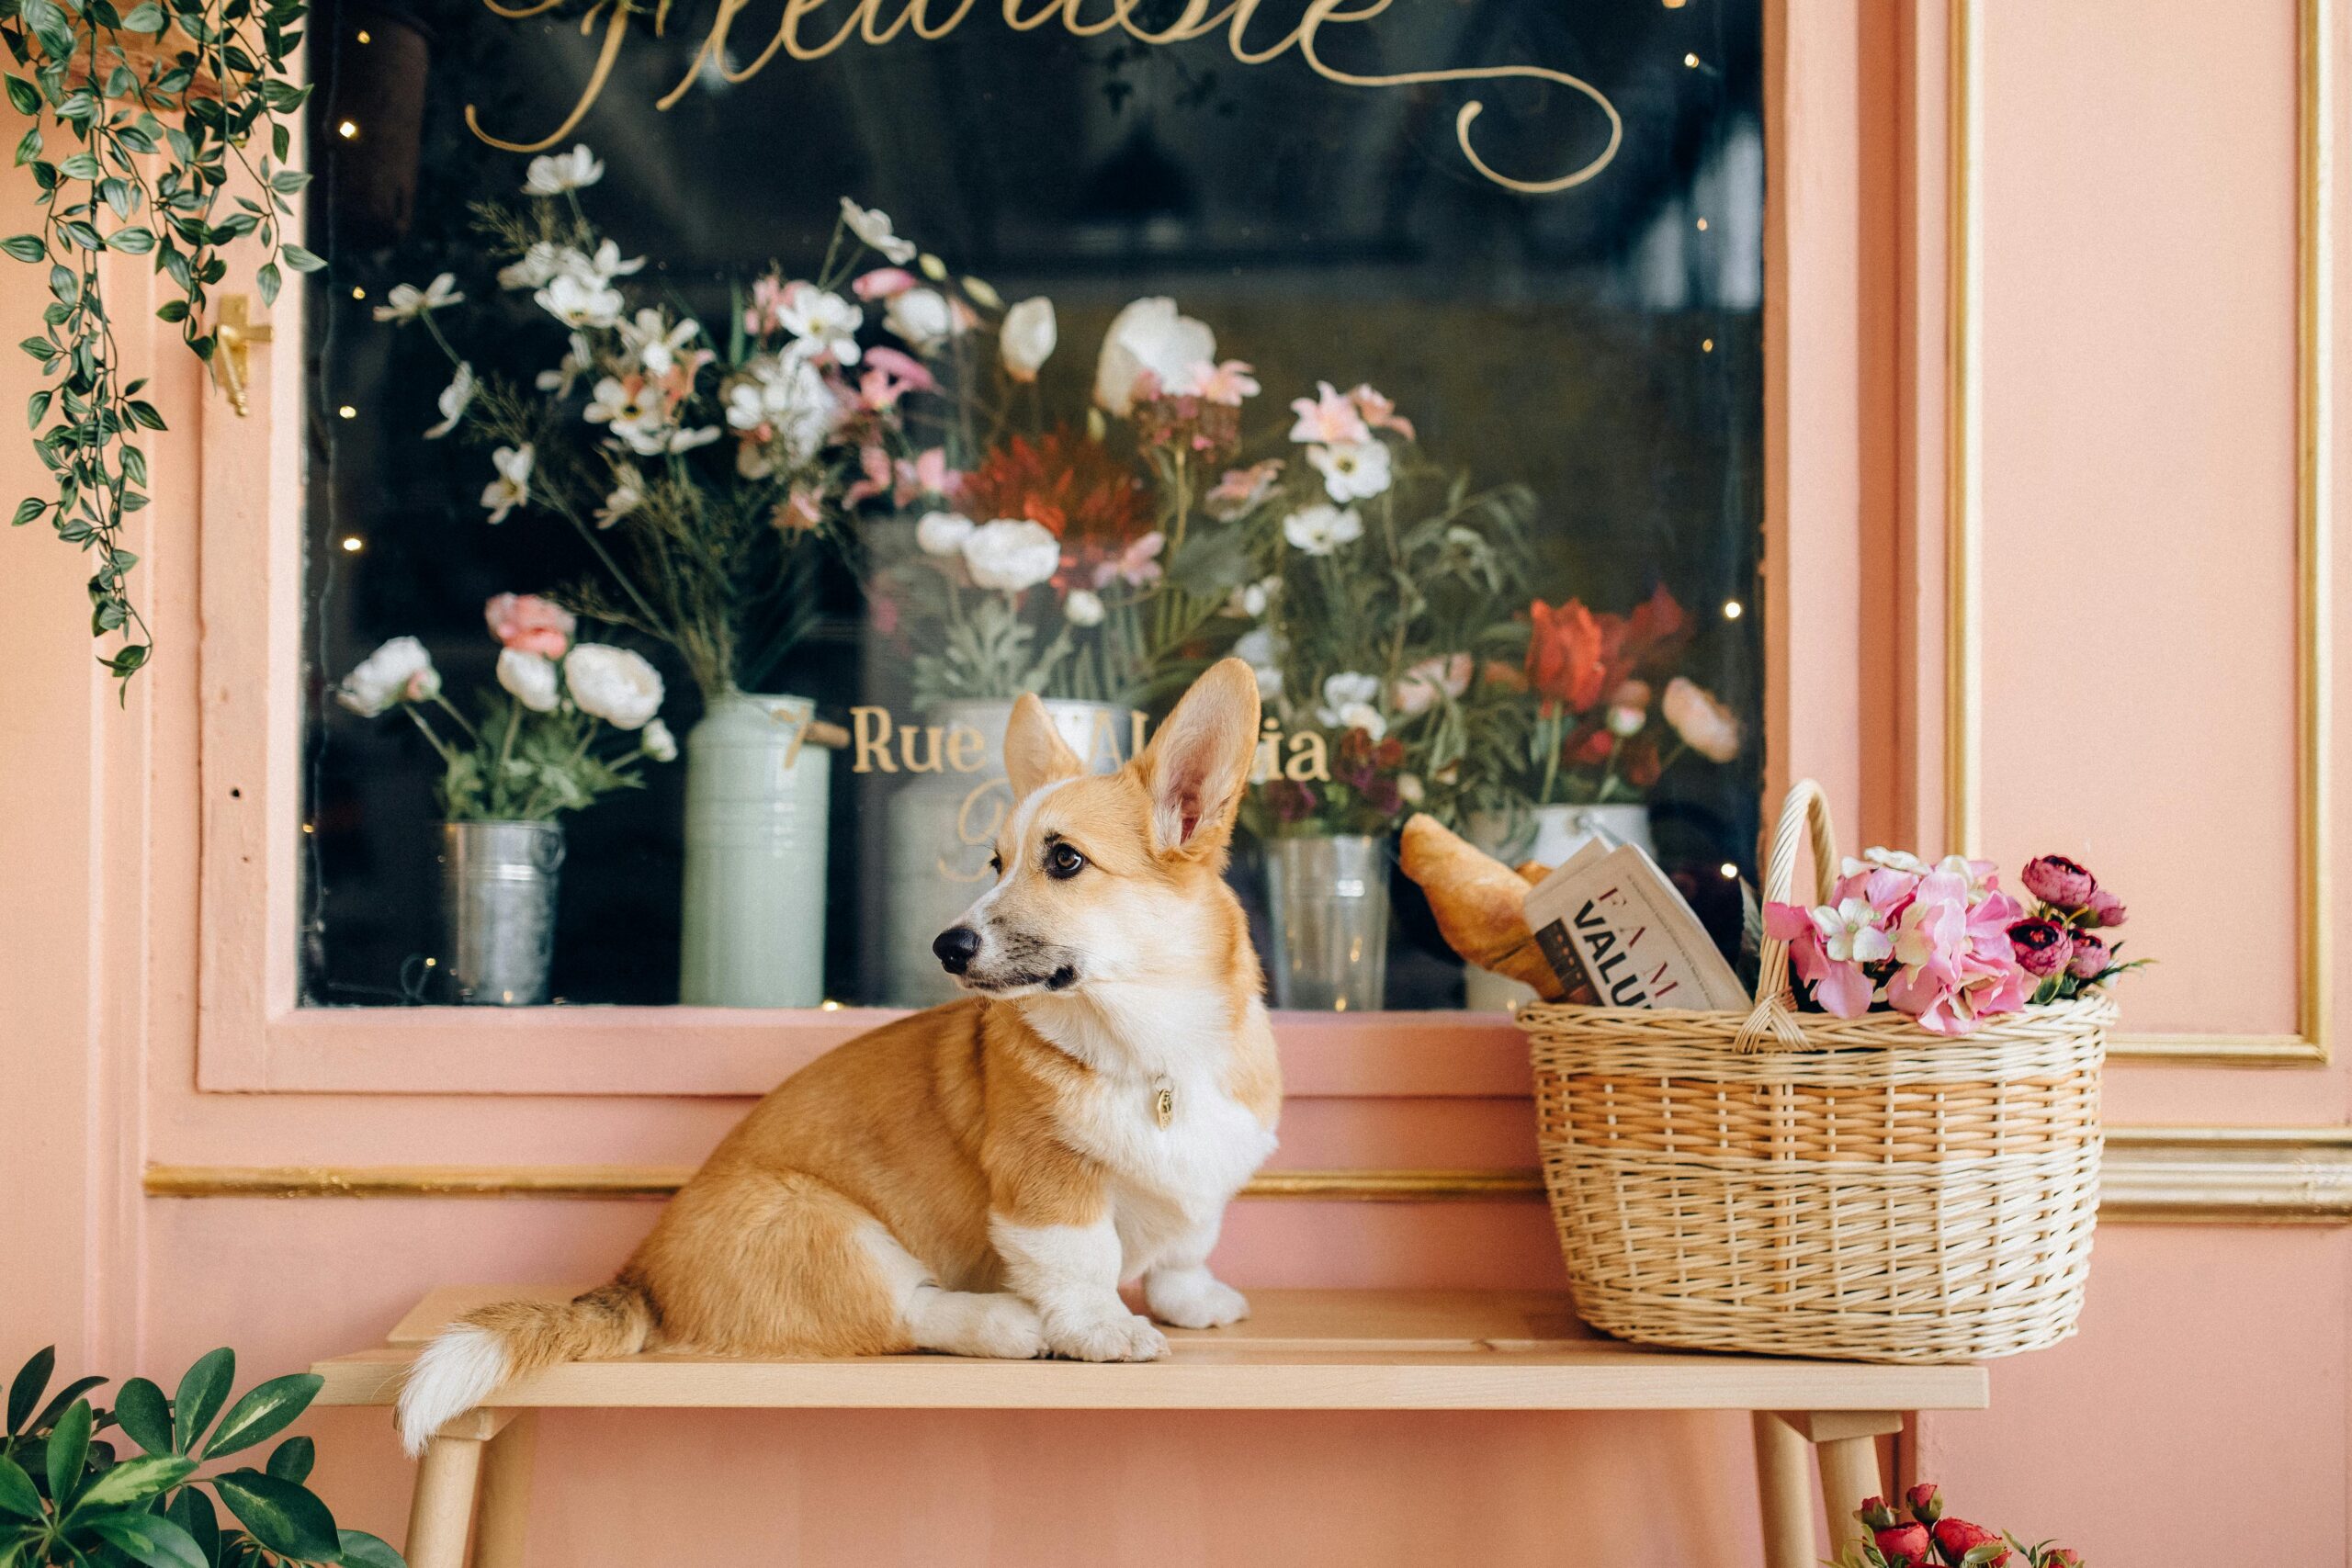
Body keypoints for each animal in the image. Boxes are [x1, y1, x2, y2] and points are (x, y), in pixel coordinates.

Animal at [404, 658, 1288, 1457]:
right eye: (994, 862)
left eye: (1064, 859)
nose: (946, 946)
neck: (1151, 1045)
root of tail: (638, 1278)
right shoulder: (1047, 1185)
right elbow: (1083, 1261)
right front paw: (1105, 1328)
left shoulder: (1206, 1175)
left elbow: (1188, 1240)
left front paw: (1193, 1299)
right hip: (834, 1230)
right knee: (904, 1312)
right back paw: (1003, 1320)